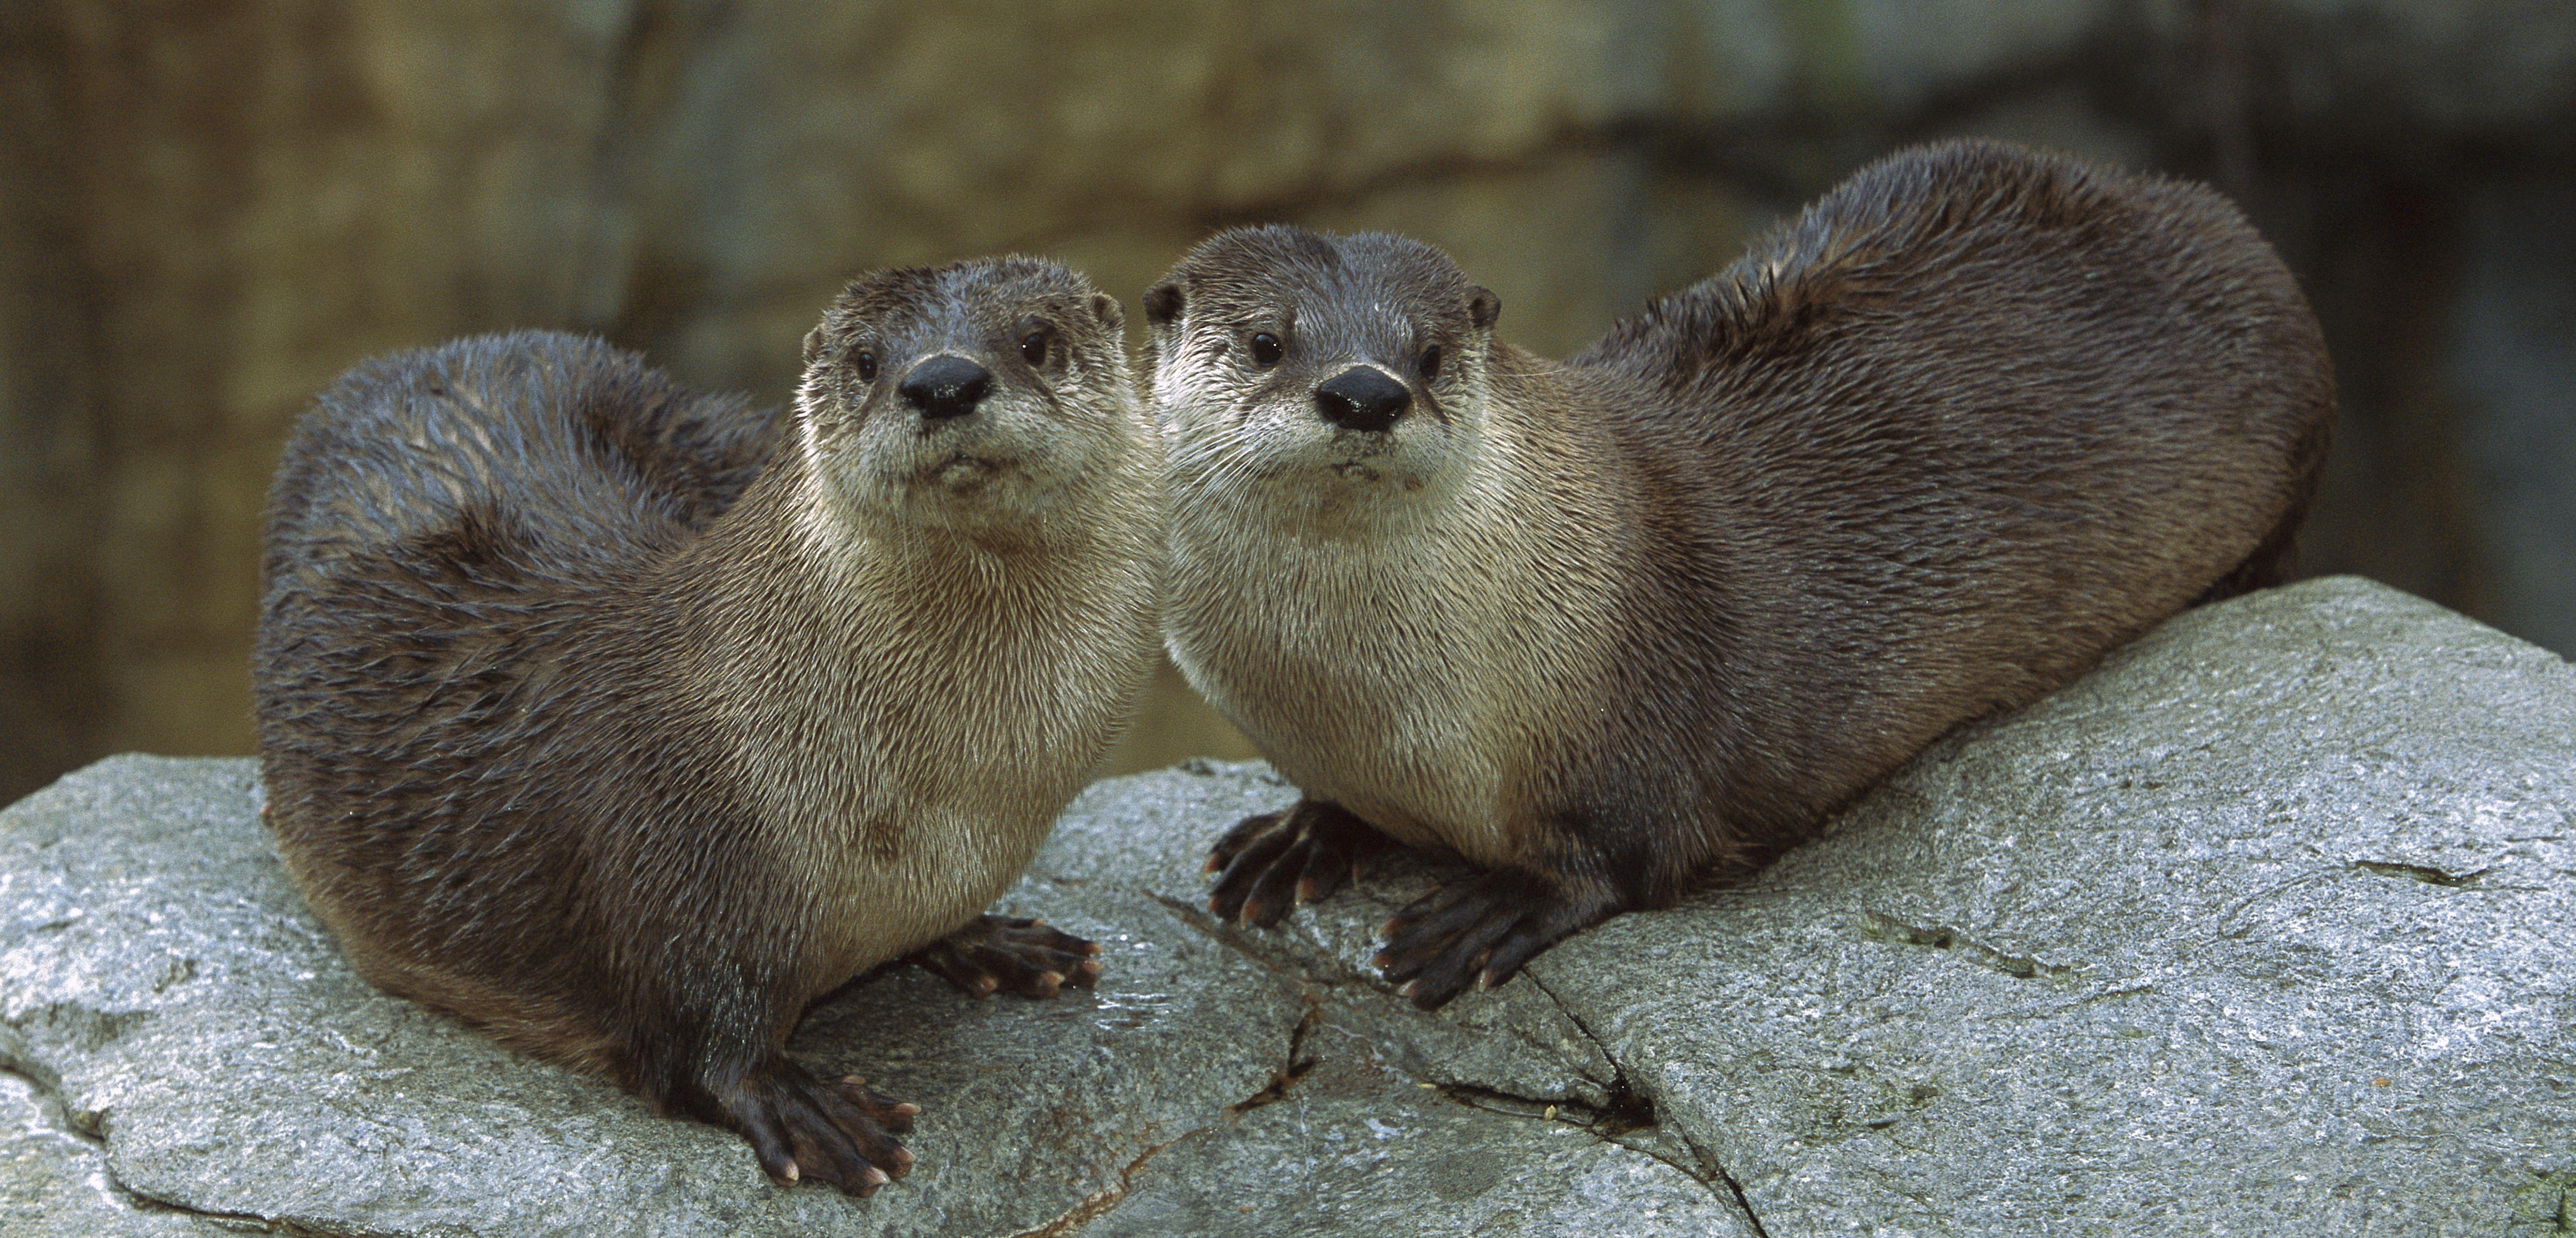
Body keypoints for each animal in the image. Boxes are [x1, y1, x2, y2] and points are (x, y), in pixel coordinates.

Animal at [254, 258, 1162, 1194]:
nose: (942, 381)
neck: (948, 808)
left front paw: (990, 939)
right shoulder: (675, 853)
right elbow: (692, 1044)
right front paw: (801, 1109)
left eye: (1035, 340)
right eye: (867, 360)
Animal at [1145, 140, 2333, 1010]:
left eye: (1429, 355)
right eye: (1264, 341)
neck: (1358, 704)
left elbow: (1630, 857)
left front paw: (1489, 912)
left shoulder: (1647, 722)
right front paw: (1303, 833)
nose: (1364, 391)